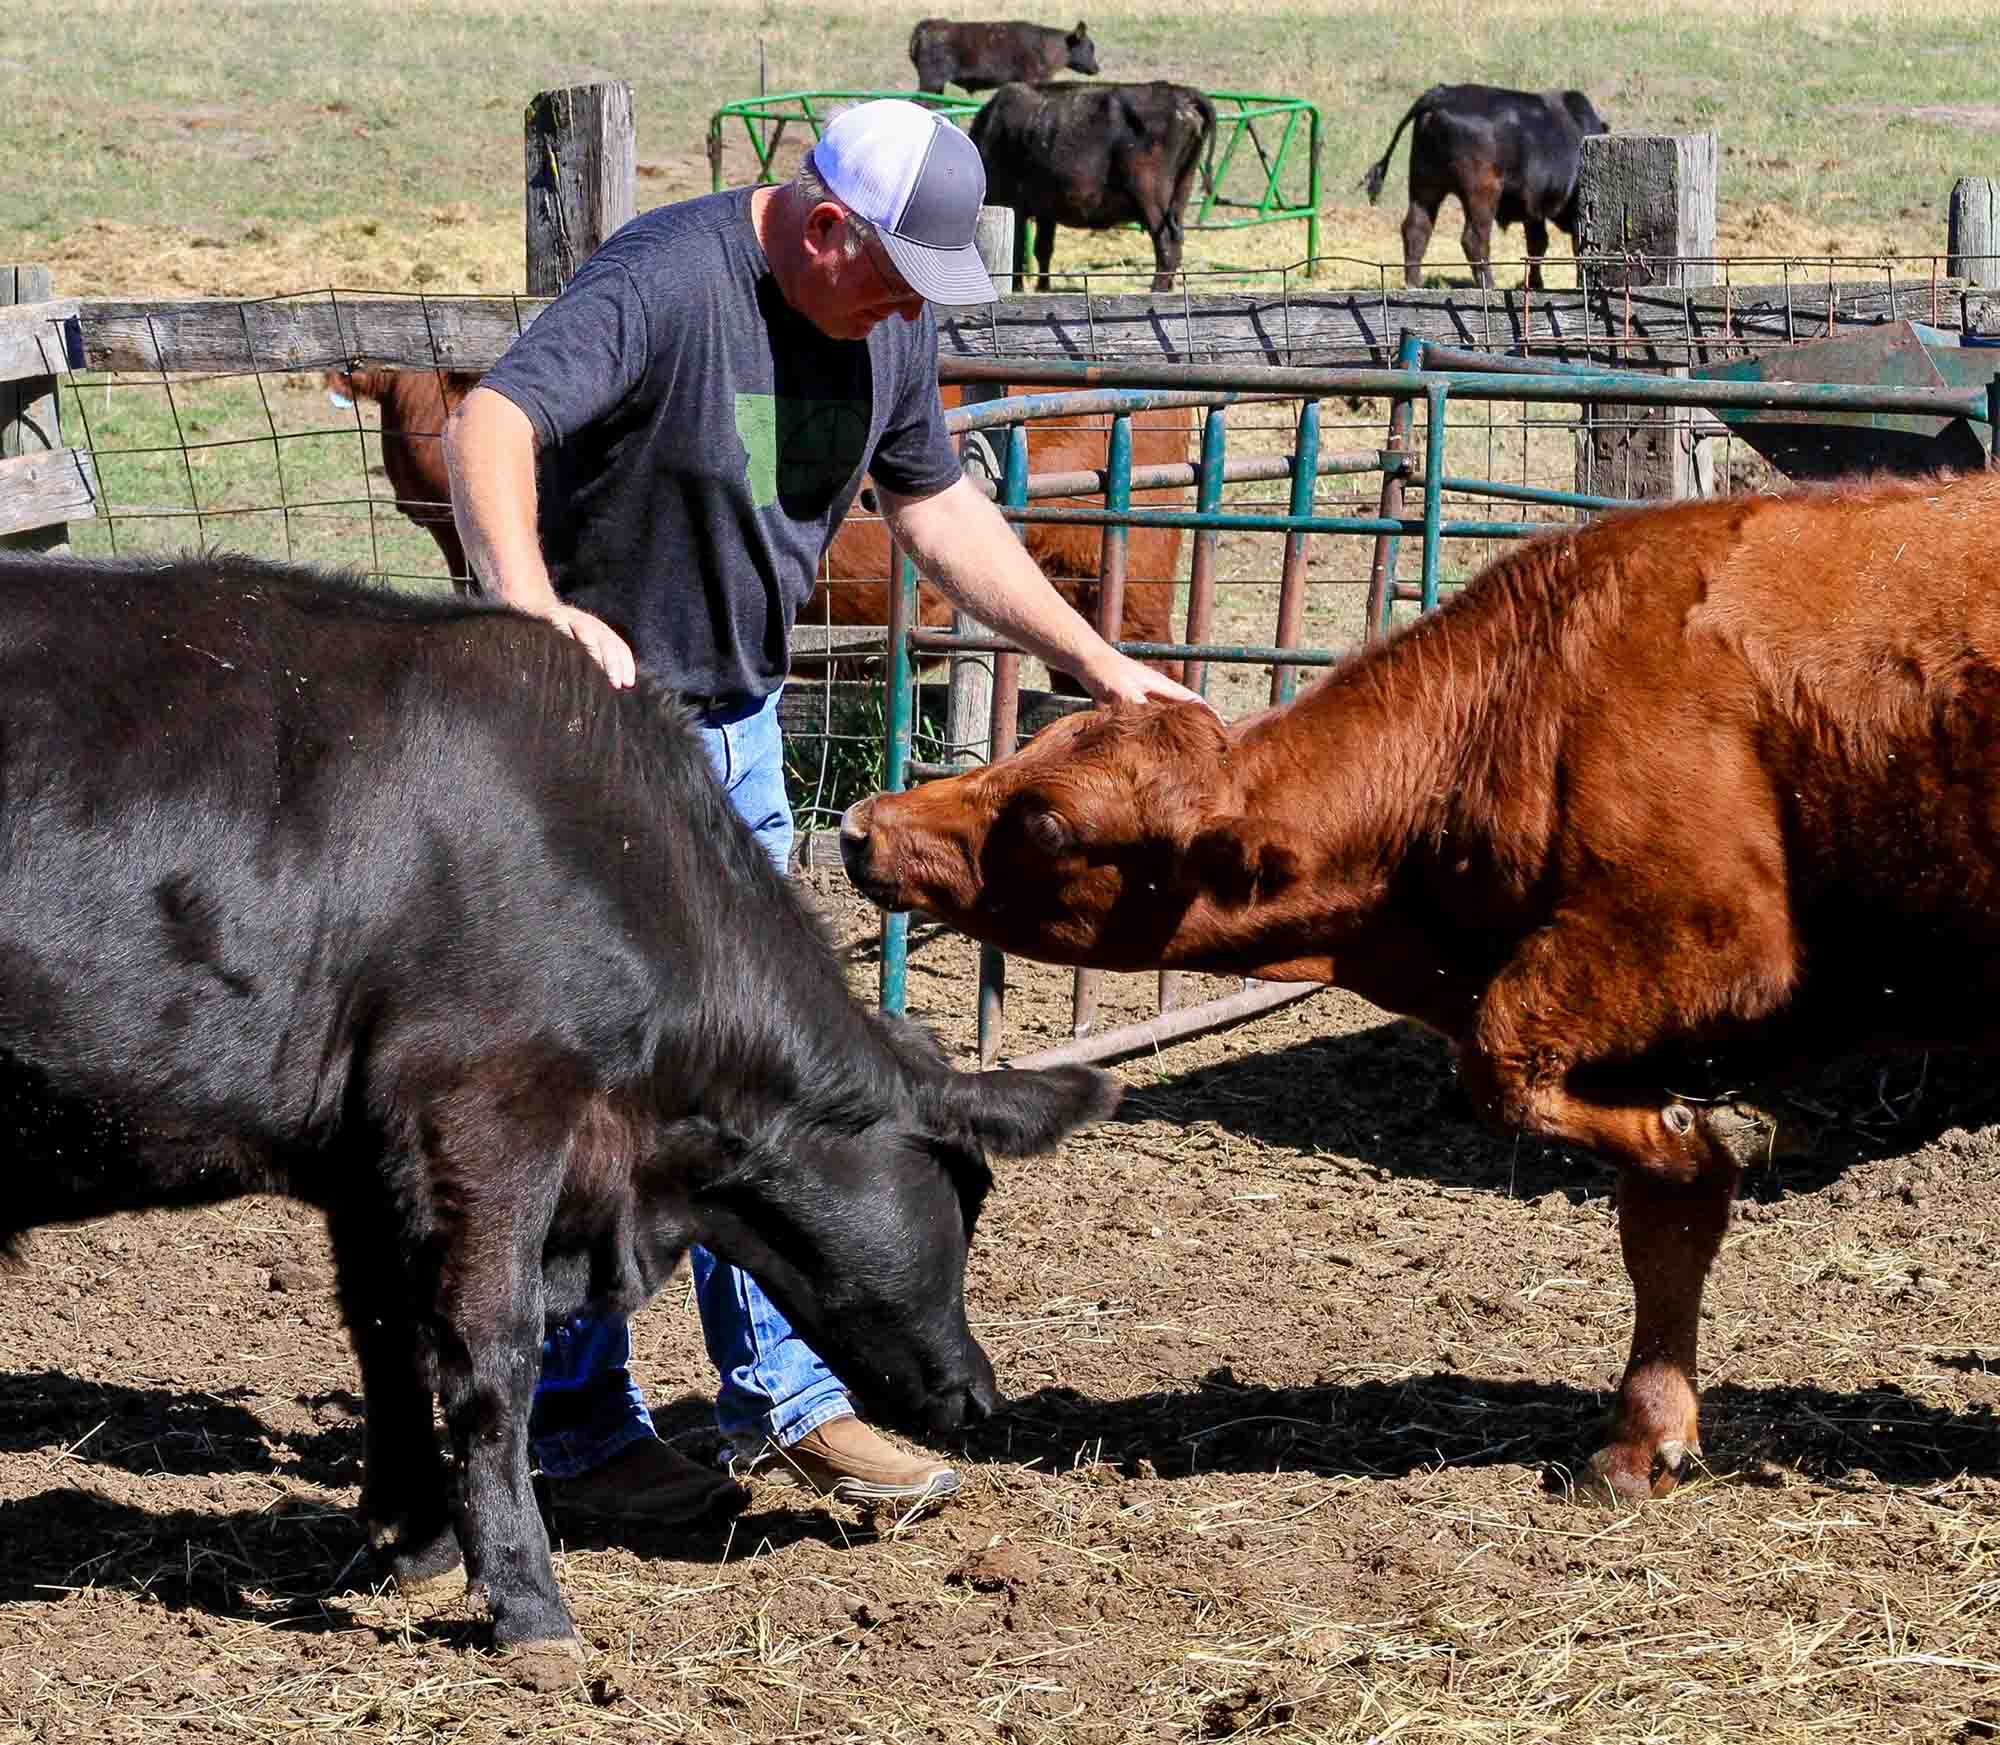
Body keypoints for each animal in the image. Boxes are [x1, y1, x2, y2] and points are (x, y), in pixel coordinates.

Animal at [0, 551, 1119, 1669]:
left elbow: (388, 1339)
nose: (983, 1393)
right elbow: (490, 1358)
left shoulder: (369, 1162)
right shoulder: (483, 1114)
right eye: (965, 1200)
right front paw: (528, 1601)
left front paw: (414, 1539)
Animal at [839, 467, 2000, 1503]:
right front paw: (1643, 1436)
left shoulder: (1696, 939)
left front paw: (1714, 1136)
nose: (860, 826)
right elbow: (1663, 1225)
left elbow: (1508, 1068)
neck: (1535, 696)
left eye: (1045, 822)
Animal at [970, 80, 1216, 292]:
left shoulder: (1014, 205)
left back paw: (1157, 288)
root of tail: (1180, 94)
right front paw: (1043, 287)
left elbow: (1017, 250)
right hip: (1181, 191)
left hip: (1150, 194)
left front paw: (1018, 288)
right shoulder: (1045, 211)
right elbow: (1042, 248)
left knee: (1166, 239)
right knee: (1176, 239)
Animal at [1359, 83, 1608, 291]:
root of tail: (1441, 94)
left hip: (1425, 186)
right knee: (1474, 237)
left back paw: (1415, 284)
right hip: (1481, 193)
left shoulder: (1533, 208)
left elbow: (1537, 245)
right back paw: (1488, 284)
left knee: (1416, 228)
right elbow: (1576, 247)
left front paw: (1534, 284)